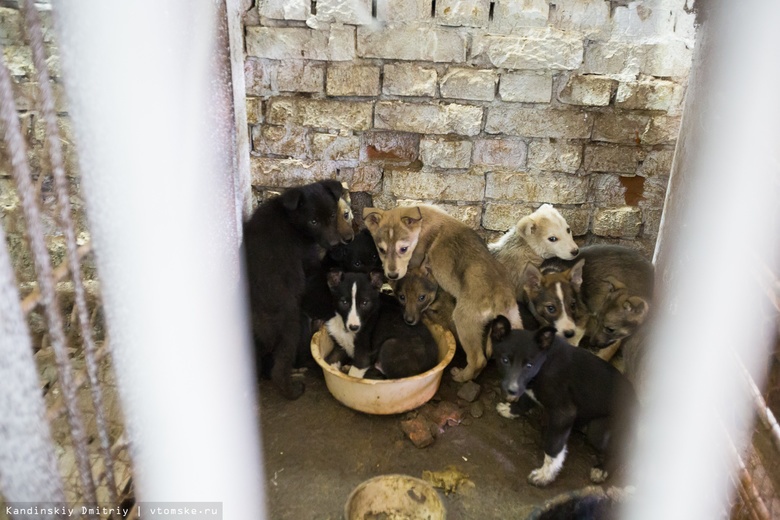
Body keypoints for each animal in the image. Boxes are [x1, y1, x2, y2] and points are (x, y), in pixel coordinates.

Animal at [242, 179, 342, 398]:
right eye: (313, 222)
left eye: (332, 215)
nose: (334, 244)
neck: (291, 220)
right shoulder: (308, 261)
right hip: (291, 326)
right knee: (279, 368)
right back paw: (292, 388)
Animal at [366, 205, 524, 384]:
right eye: (381, 249)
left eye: (403, 249)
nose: (391, 275)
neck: (422, 222)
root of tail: (501, 298)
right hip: (514, 320)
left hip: (463, 322)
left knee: (478, 359)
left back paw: (461, 376)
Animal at [490, 316, 636, 488]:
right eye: (505, 360)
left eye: (529, 365)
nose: (512, 390)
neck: (545, 363)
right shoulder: (529, 389)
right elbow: (524, 402)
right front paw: (510, 410)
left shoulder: (564, 413)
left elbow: (553, 447)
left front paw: (544, 476)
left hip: (599, 431)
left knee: (618, 450)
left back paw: (602, 470)